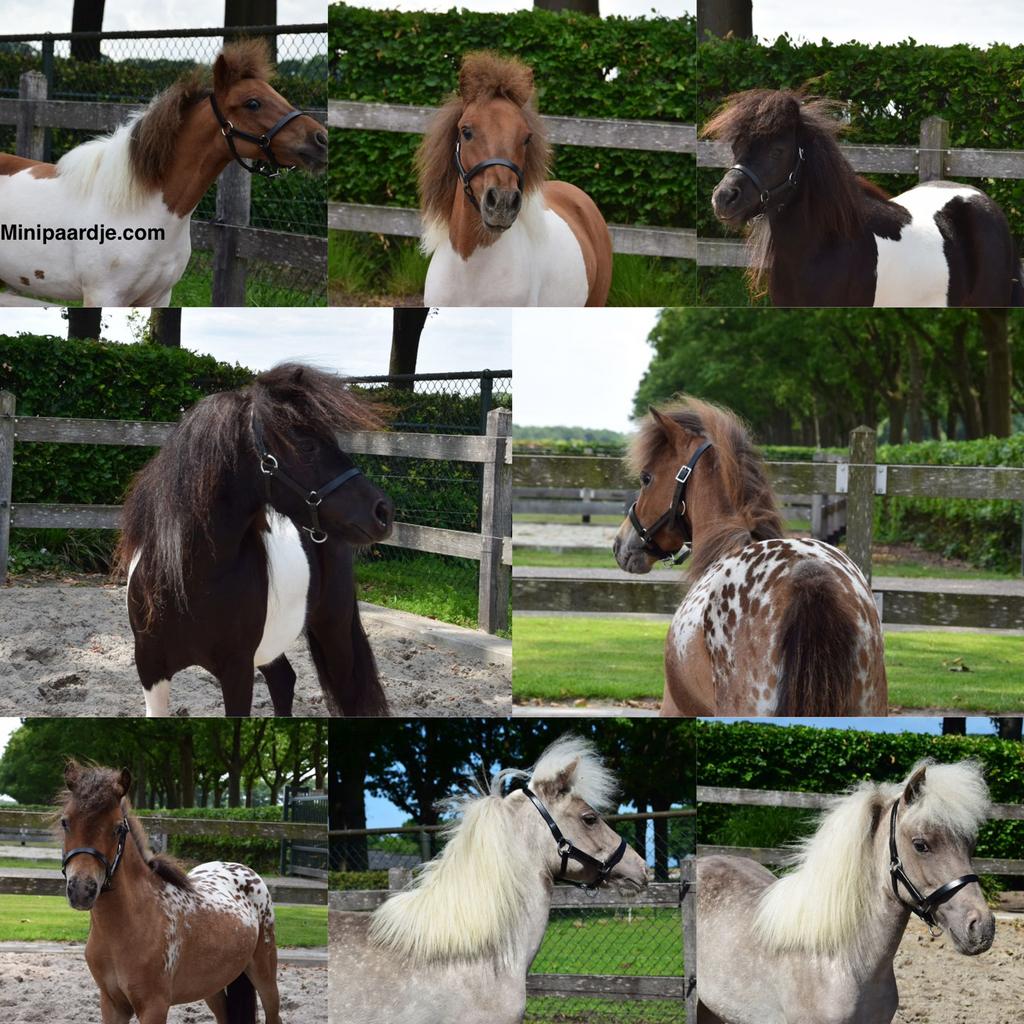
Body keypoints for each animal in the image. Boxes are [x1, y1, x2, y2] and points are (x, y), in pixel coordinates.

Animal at [59, 759, 282, 1024]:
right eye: (65, 822)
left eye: (117, 828)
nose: (82, 889)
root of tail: (245, 871)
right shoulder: (112, 1004)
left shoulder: (154, 1006)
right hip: (212, 986)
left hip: (264, 973)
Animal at [114, 363, 394, 718]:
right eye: (306, 446)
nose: (383, 511)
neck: (188, 579)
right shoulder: (150, 668)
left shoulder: (237, 670)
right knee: (284, 681)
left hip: (335, 629)